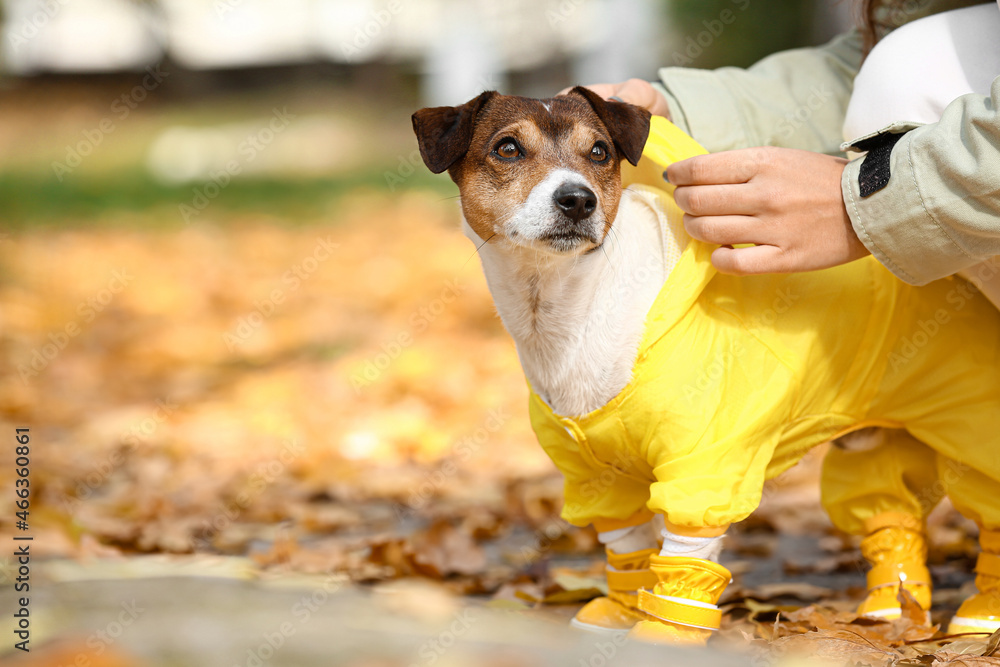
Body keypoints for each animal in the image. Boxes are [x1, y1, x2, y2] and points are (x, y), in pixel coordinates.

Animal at [410, 91, 1000, 644]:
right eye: (507, 148)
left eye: (599, 152)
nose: (577, 199)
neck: (563, 309)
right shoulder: (597, 479)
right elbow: (627, 548)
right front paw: (618, 612)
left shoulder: (705, 465)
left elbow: (683, 561)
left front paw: (663, 635)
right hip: (870, 437)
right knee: (888, 512)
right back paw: (890, 611)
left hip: (971, 423)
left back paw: (979, 615)